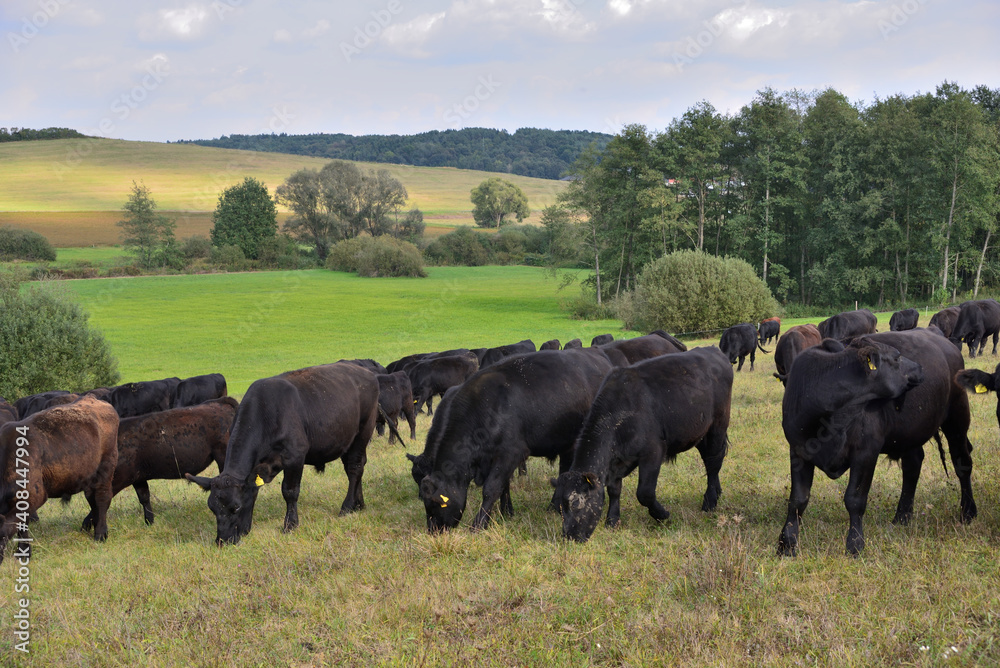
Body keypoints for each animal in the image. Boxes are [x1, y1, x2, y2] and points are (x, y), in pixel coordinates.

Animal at [0, 394, 119, 560]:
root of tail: (93, 399)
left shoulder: (34, 495)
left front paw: (24, 551)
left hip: (106, 468)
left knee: (102, 499)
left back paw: (100, 534)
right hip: (89, 477)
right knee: (93, 500)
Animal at [186, 362, 376, 544]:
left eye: (236, 507)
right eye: (212, 508)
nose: (222, 540)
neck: (266, 414)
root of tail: (364, 371)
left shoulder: (295, 456)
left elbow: (290, 491)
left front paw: (290, 525)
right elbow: (254, 491)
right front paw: (247, 528)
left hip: (363, 432)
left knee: (355, 468)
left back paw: (347, 507)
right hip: (346, 440)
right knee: (356, 467)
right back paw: (359, 504)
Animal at [416, 350, 616, 532]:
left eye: (433, 503)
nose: (433, 531)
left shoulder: (510, 453)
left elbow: (491, 489)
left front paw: (479, 524)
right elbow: (504, 486)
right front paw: (507, 512)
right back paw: (554, 506)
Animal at [556, 350, 736, 544]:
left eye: (576, 503)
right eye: (562, 506)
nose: (570, 537)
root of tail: (712, 350)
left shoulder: (653, 451)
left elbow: (645, 492)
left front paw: (662, 514)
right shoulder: (615, 462)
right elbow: (614, 490)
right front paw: (612, 520)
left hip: (718, 426)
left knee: (713, 463)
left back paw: (710, 502)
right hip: (700, 434)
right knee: (710, 462)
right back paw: (717, 492)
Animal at [772, 330, 976, 560]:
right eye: (897, 357)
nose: (919, 368)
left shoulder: (866, 452)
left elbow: (855, 499)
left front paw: (854, 544)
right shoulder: (798, 452)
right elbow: (798, 499)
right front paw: (787, 544)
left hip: (958, 417)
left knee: (962, 463)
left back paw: (968, 511)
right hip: (910, 431)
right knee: (913, 466)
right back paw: (902, 516)